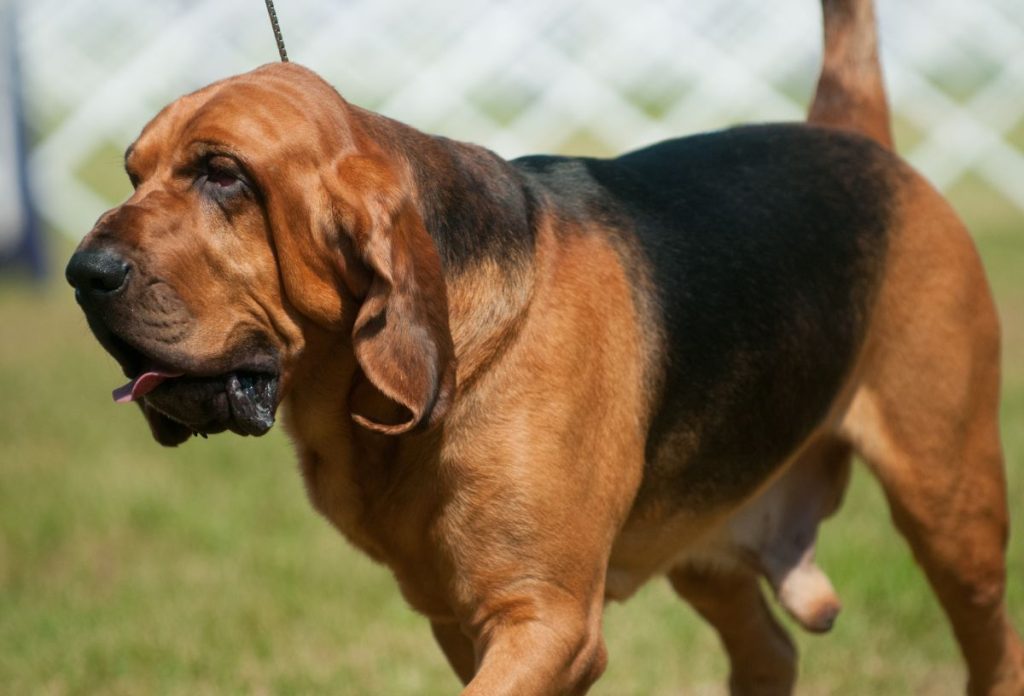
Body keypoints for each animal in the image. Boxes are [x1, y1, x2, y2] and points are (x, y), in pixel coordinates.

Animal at [68, 0, 1019, 691]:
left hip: (952, 509)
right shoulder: (462, 623)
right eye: (131, 173)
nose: (83, 272)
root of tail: (851, 135)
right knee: (770, 653)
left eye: (223, 175)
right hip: (704, 542)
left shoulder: (543, 622)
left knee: (994, 645)